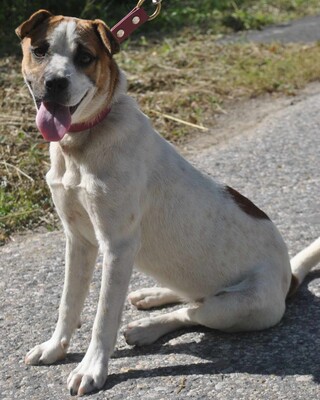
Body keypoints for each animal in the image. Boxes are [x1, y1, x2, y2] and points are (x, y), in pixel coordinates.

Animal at [15, 9, 320, 396]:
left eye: (85, 57)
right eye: (39, 50)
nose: (55, 83)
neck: (81, 145)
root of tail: (288, 276)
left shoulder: (118, 246)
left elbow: (103, 316)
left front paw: (92, 368)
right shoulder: (78, 240)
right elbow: (68, 303)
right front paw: (56, 348)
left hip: (238, 308)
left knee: (193, 312)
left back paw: (146, 328)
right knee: (189, 296)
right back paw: (151, 296)